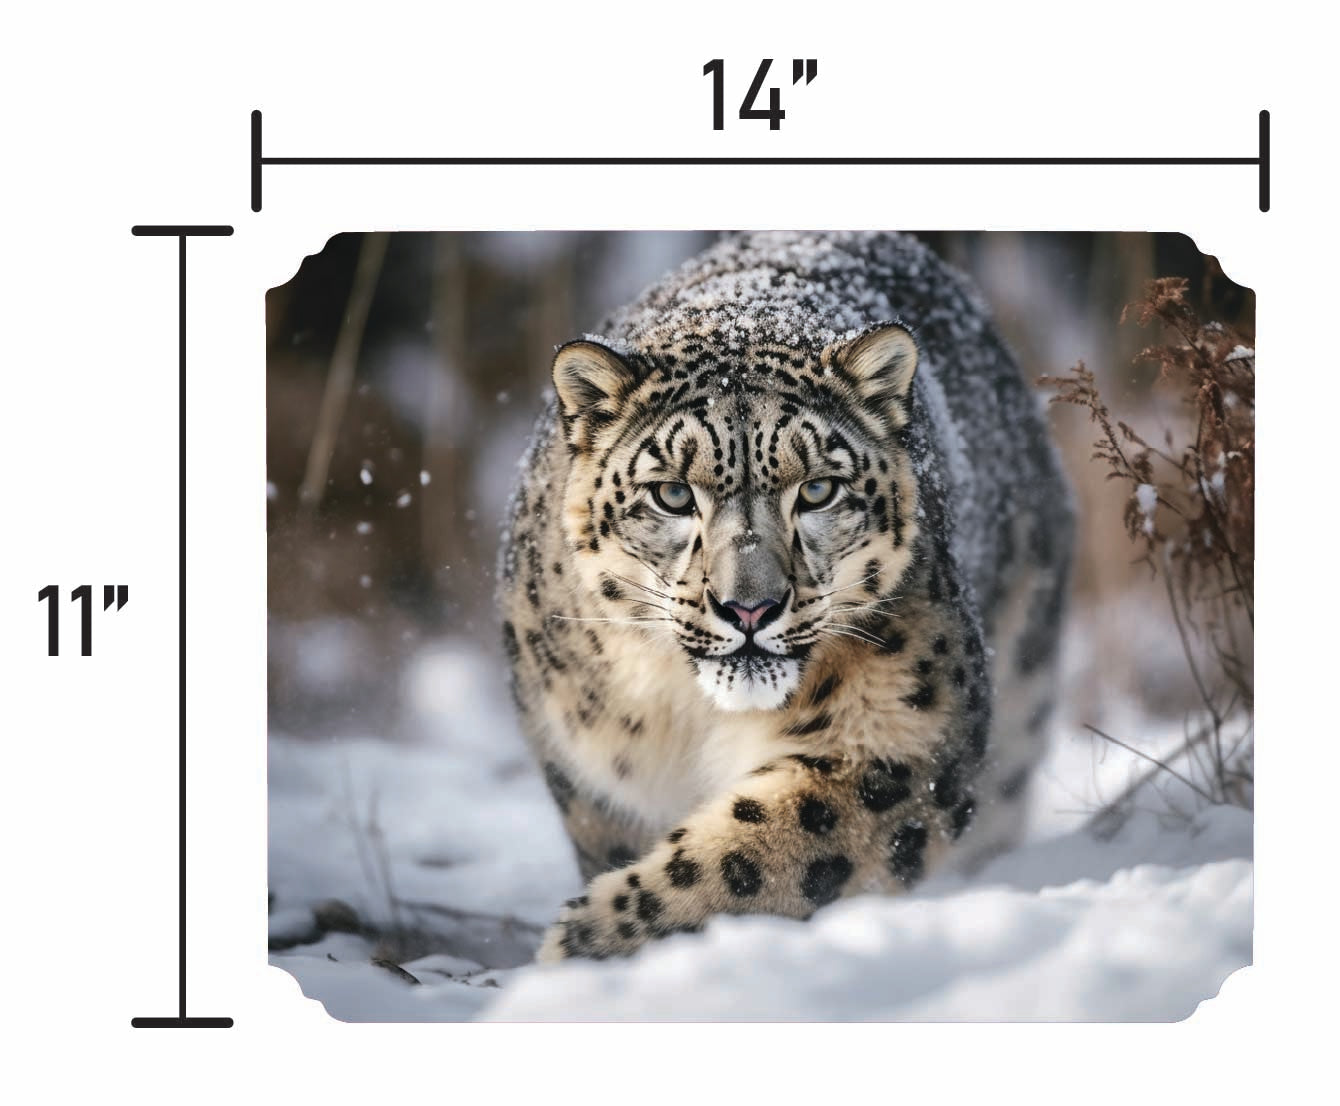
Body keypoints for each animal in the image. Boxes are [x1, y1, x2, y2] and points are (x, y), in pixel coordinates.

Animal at [497, 231, 1074, 961]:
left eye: (819, 489)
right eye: (673, 493)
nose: (750, 607)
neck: (691, 718)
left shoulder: (899, 735)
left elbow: (761, 854)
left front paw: (590, 940)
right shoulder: (589, 770)